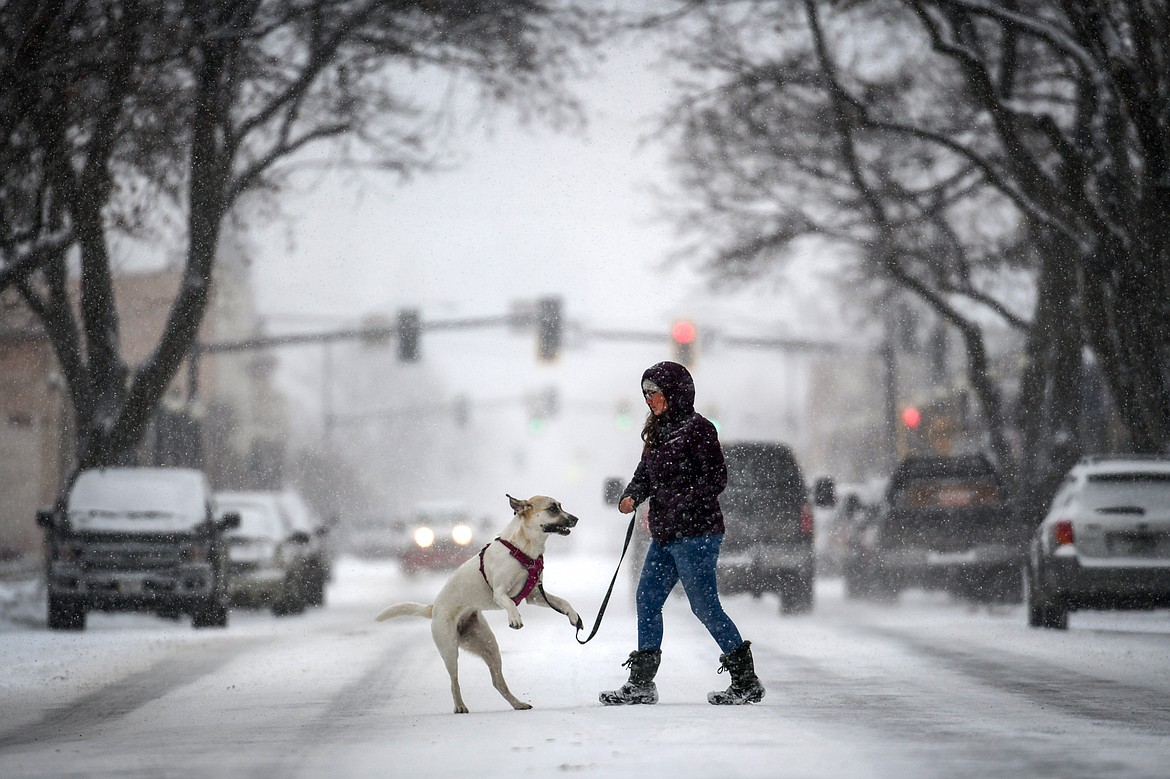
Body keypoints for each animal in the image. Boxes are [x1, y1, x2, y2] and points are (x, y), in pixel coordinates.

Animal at [376, 491, 582, 711]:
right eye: (552, 509)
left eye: (560, 506)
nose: (576, 519)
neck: (523, 549)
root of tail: (434, 608)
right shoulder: (499, 593)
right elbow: (510, 603)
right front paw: (515, 618)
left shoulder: (534, 595)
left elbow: (562, 601)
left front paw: (573, 616)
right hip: (449, 649)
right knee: (454, 681)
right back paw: (460, 706)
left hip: (488, 645)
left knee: (498, 682)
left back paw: (517, 703)